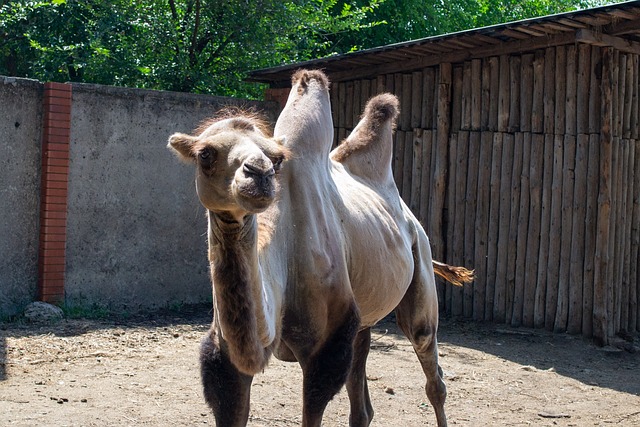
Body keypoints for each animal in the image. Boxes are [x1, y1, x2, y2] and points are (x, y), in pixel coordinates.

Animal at [168, 68, 472, 426]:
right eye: (205, 154)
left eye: (276, 158)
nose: (259, 174)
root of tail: (413, 221)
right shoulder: (225, 357)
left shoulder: (325, 348)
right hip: (363, 317)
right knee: (363, 405)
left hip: (420, 266)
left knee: (431, 370)